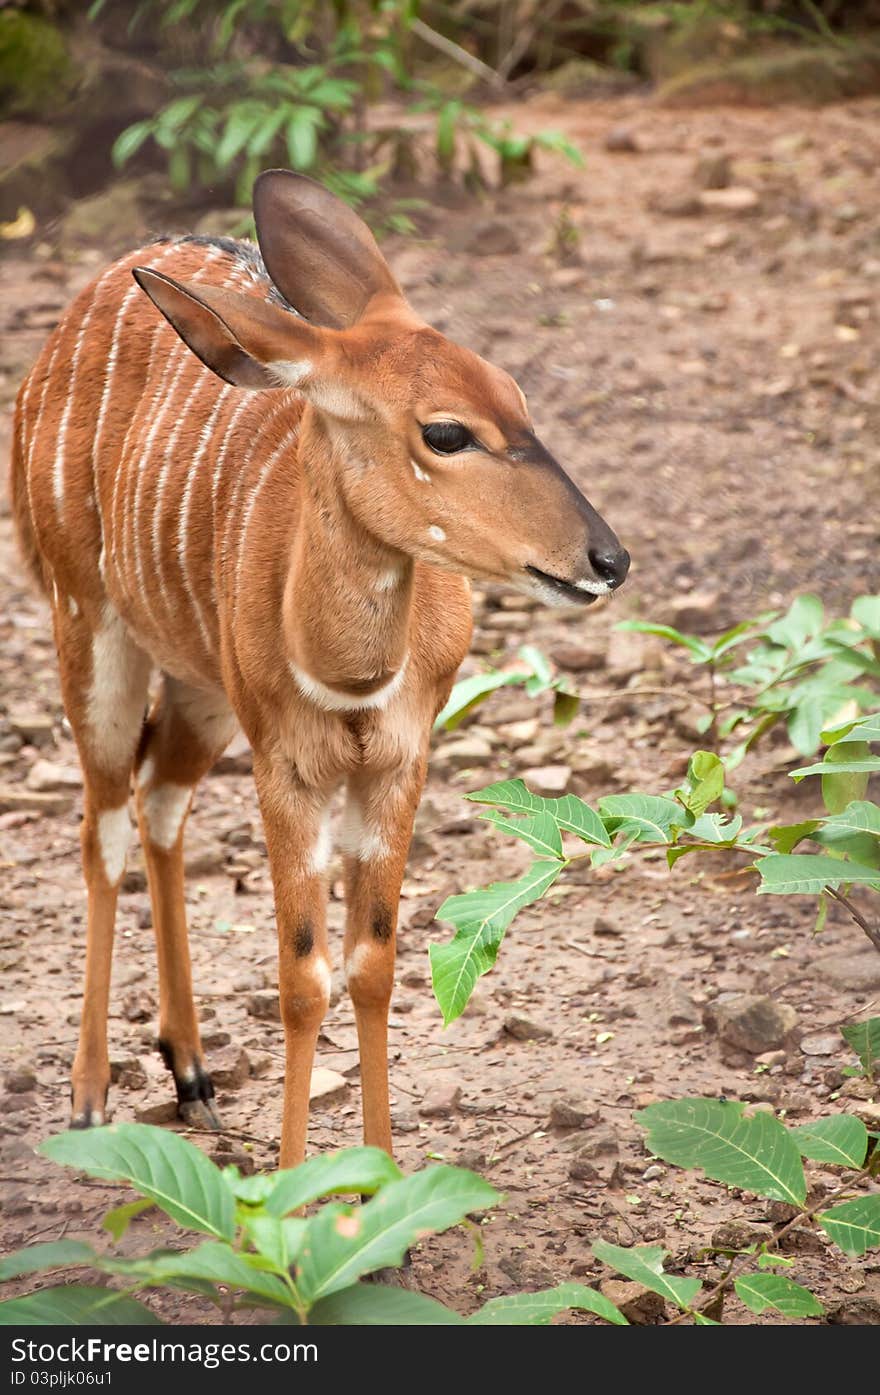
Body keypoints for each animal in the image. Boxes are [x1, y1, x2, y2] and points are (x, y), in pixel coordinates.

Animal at [15, 171, 633, 1166]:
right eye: (446, 432)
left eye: (517, 394)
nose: (607, 559)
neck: (350, 677)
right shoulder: (288, 769)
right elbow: (301, 976)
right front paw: (294, 1186)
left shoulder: (398, 759)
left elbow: (373, 963)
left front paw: (381, 1178)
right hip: (89, 623)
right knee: (102, 823)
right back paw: (88, 1097)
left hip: (199, 683)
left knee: (158, 800)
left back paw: (192, 1072)